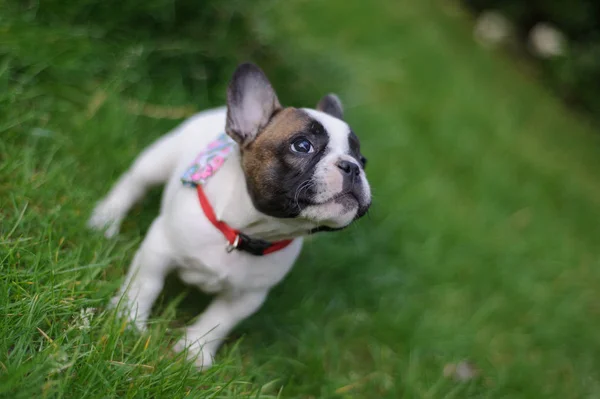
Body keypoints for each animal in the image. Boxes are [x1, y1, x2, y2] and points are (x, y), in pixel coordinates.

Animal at [88, 63, 370, 372]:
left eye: (363, 160)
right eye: (302, 145)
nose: (352, 167)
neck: (245, 231)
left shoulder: (248, 296)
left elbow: (218, 322)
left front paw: (194, 353)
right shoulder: (158, 249)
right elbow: (145, 285)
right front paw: (129, 320)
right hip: (158, 160)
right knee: (133, 182)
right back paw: (106, 218)